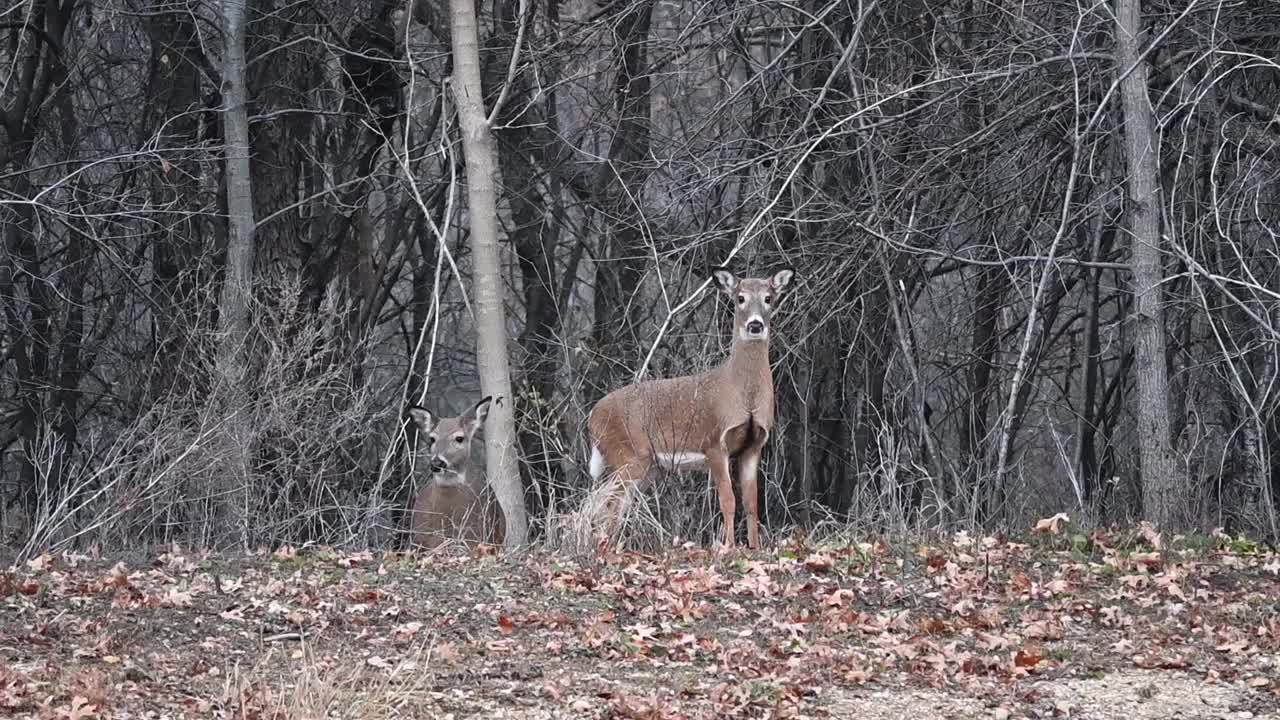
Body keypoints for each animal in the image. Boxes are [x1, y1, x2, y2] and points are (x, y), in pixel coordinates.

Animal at [586, 266, 788, 545]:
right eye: (740, 298)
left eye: (769, 298)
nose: (755, 324)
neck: (742, 395)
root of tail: (592, 417)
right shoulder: (714, 443)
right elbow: (728, 501)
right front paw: (728, 546)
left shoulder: (754, 445)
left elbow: (751, 504)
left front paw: (755, 548)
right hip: (627, 453)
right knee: (599, 499)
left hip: (647, 466)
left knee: (616, 502)